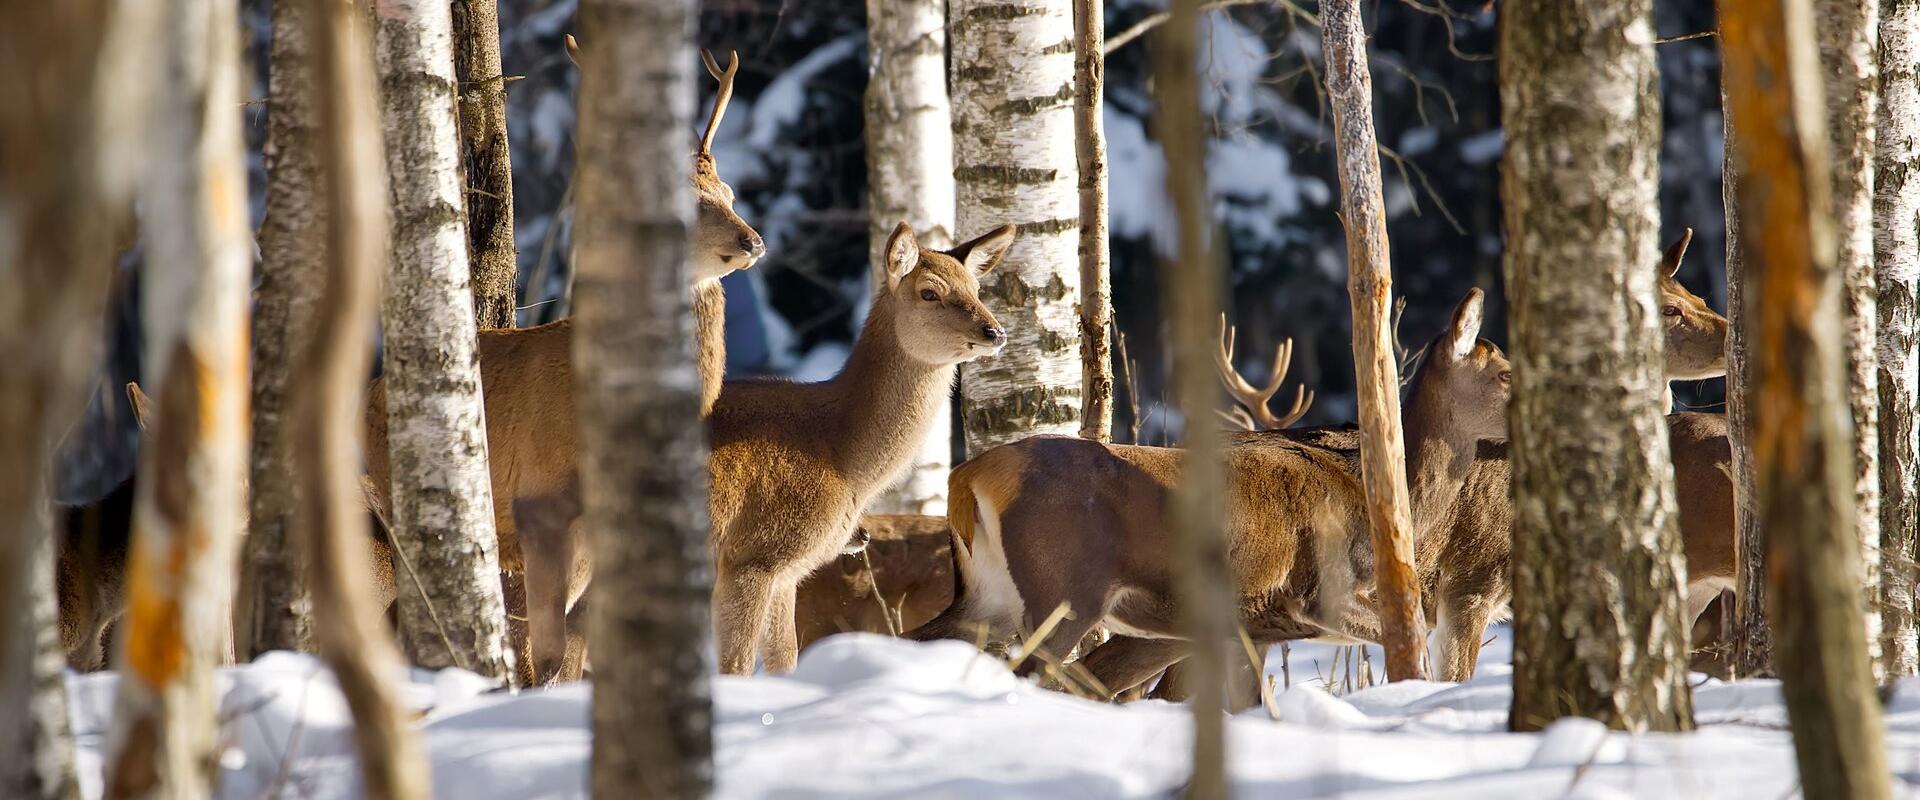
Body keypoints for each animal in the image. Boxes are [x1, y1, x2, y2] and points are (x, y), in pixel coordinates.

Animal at [360, 43, 756, 682]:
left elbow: (574, 644)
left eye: (731, 193)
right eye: (685, 205)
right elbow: (548, 652)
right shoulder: (539, 502)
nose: (752, 241)